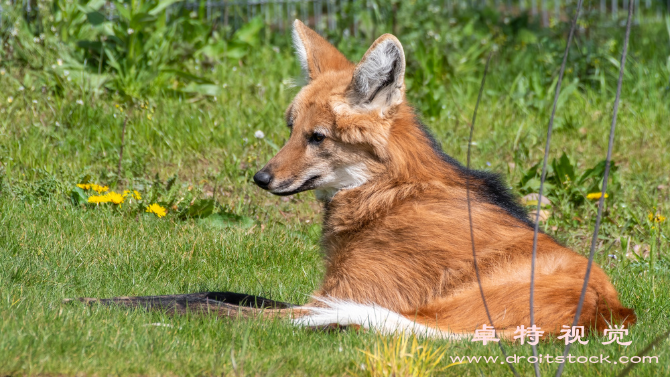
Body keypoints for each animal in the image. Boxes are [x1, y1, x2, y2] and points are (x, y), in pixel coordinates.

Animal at [253, 19, 636, 338]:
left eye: (317, 137)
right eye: (291, 129)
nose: (260, 178)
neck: (384, 190)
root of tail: (602, 313)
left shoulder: (344, 294)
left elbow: (249, 309)